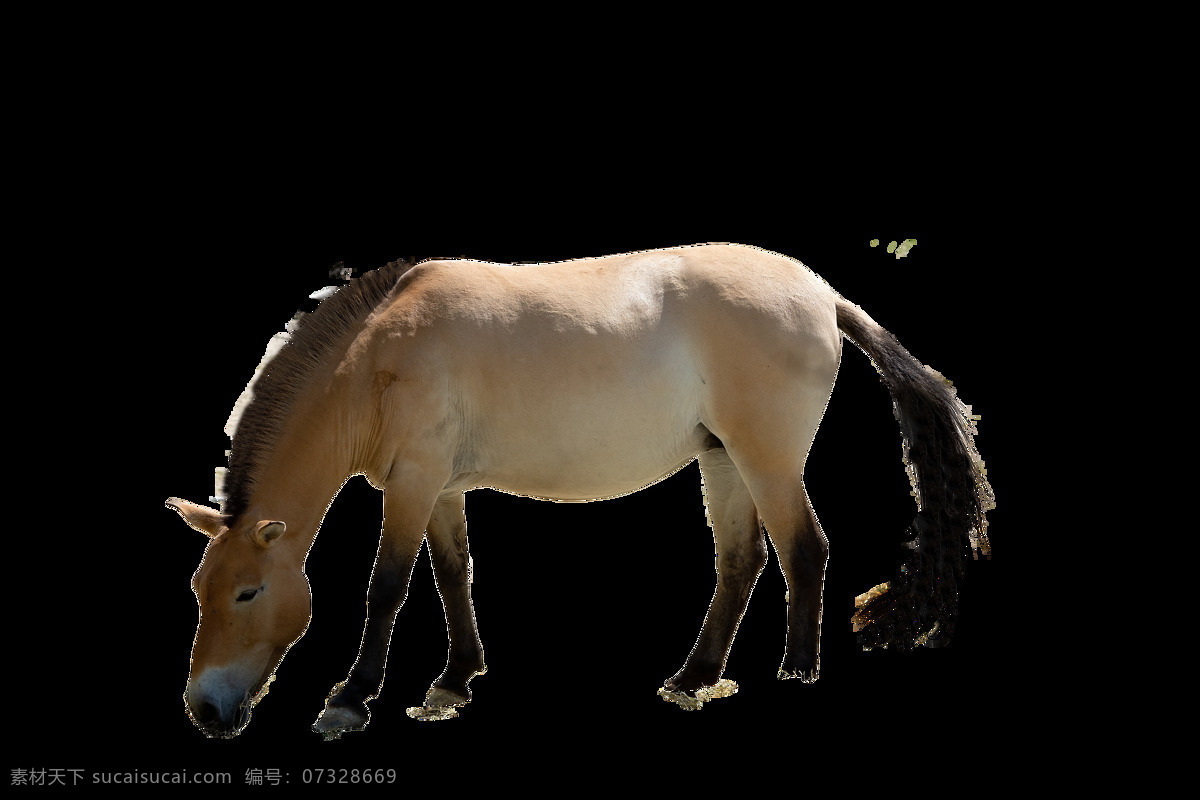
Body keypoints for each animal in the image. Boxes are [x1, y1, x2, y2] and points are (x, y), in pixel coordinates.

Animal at [166, 242, 994, 738]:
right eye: (197, 590)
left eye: (246, 592)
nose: (205, 710)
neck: (376, 357)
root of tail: (821, 293)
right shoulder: (439, 489)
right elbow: (454, 575)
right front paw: (454, 681)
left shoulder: (413, 483)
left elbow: (388, 586)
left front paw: (350, 697)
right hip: (724, 460)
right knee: (742, 563)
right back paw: (694, 677)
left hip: (767, 460)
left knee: (804, 551)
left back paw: (795, 670)